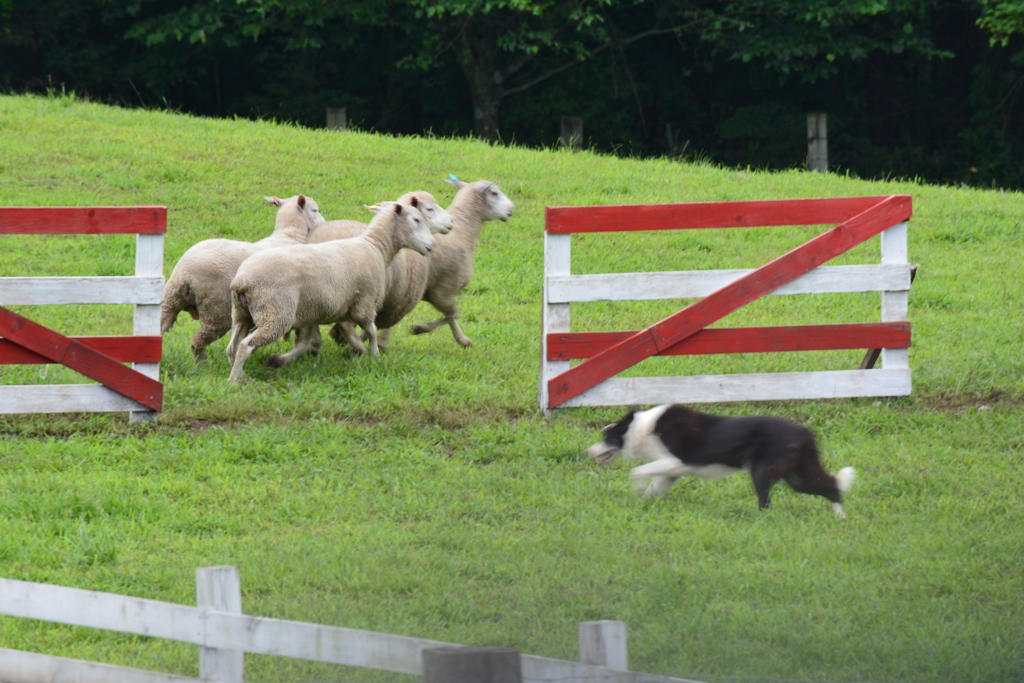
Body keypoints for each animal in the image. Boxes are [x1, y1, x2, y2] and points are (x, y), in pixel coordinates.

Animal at [159, 192, 321, 362]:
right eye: (315, 210)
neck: (289, 235)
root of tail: (185, 274)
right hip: (216, 311)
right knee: (198, 341)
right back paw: (203, 363)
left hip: (171, 299)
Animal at [228, 198, 436, 385]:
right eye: (416, 220)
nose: (432, 245)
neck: (375, 247)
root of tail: (242, 281)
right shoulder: (365, 304)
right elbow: (372, 331)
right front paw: (374, 355)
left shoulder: (340, 308)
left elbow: (345, 332)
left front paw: (360, 350)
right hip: (275, 314)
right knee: (245, 346)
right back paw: (235, 380)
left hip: (242, 314)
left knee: (232, 346)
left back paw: (241, 374)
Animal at [585, 403, 856, 516]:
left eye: (607, 437)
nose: (588, 451)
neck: (642, 429)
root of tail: (805, 433)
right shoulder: (671, 472)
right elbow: (653, 488)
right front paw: (641, 503)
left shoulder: (675, 462)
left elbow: (637, 471)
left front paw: (637, 490)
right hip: (796, 476)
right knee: (831, 488)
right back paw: (840, 517)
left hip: (763, 472)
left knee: (766, 502)